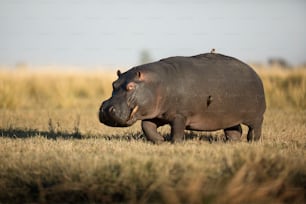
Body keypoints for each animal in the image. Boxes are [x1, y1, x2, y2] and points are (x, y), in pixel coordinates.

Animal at [98, 52, 266, 143]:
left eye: (131, 86)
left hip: (256, 116)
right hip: (229, 117)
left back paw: (252, 141)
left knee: (255, 129)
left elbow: (177, 131)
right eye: (113, 84)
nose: (105, 109)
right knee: (234, 130)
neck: (159, 83)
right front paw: (160, 141)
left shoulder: (180, 115)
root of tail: (255, 73)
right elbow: (147, 127)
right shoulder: (157, 114)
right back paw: (231, 142)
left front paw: (175, 143)